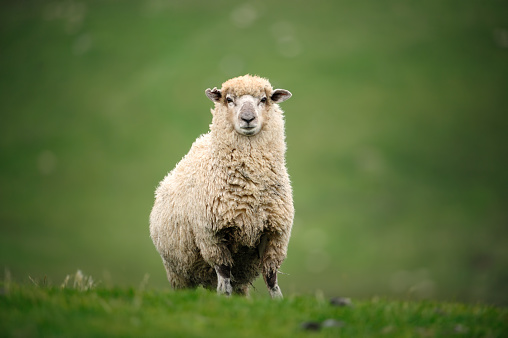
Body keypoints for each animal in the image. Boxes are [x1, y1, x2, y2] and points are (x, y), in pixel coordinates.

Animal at [150, 74, 294, 298]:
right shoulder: (212, 235)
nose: (247, 118)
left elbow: (271, 278)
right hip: (177, 271)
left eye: (264, 99)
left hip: (239, 277)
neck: (250, 187)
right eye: (229, 99)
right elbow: (224, 274)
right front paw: (224, 297)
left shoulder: (274, 234)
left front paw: (278, 300)